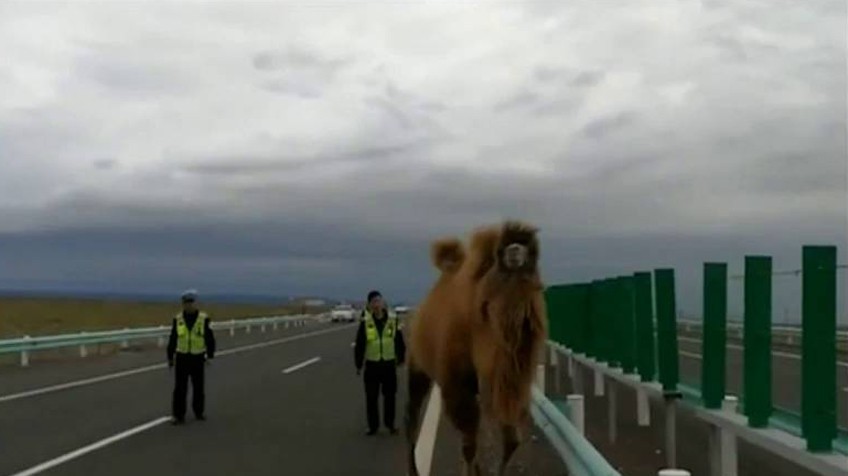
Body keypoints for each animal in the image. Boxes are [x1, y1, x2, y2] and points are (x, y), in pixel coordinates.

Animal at [406, 221, 548, 474]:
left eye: (529, 247)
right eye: (504, 247)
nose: (515, 250)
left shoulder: (505, 382)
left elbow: (511, 439)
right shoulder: (458, 384)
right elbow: (470, 443)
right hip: (417, 365)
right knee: (411, 418)